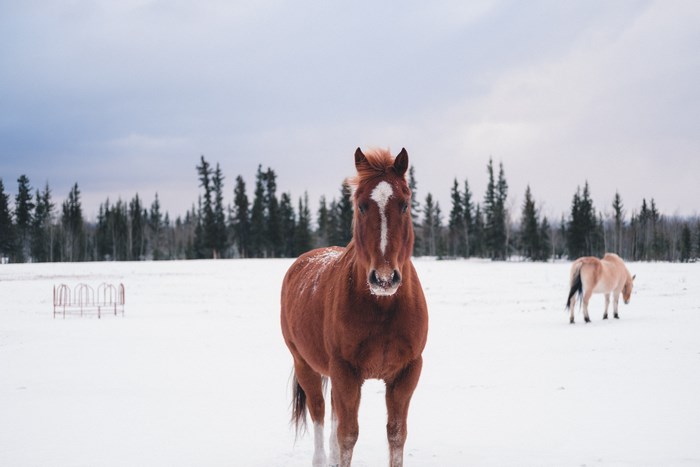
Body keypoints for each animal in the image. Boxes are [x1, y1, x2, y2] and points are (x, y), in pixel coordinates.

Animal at [280, 148, 429, 467]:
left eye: (405, 204)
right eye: (361, 205)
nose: (384, 278)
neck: (382, 308)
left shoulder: (407, 372)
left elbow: (396, 435)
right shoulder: (345, 372)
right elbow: (348, 436)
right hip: (305, 365)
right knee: (320, 414)